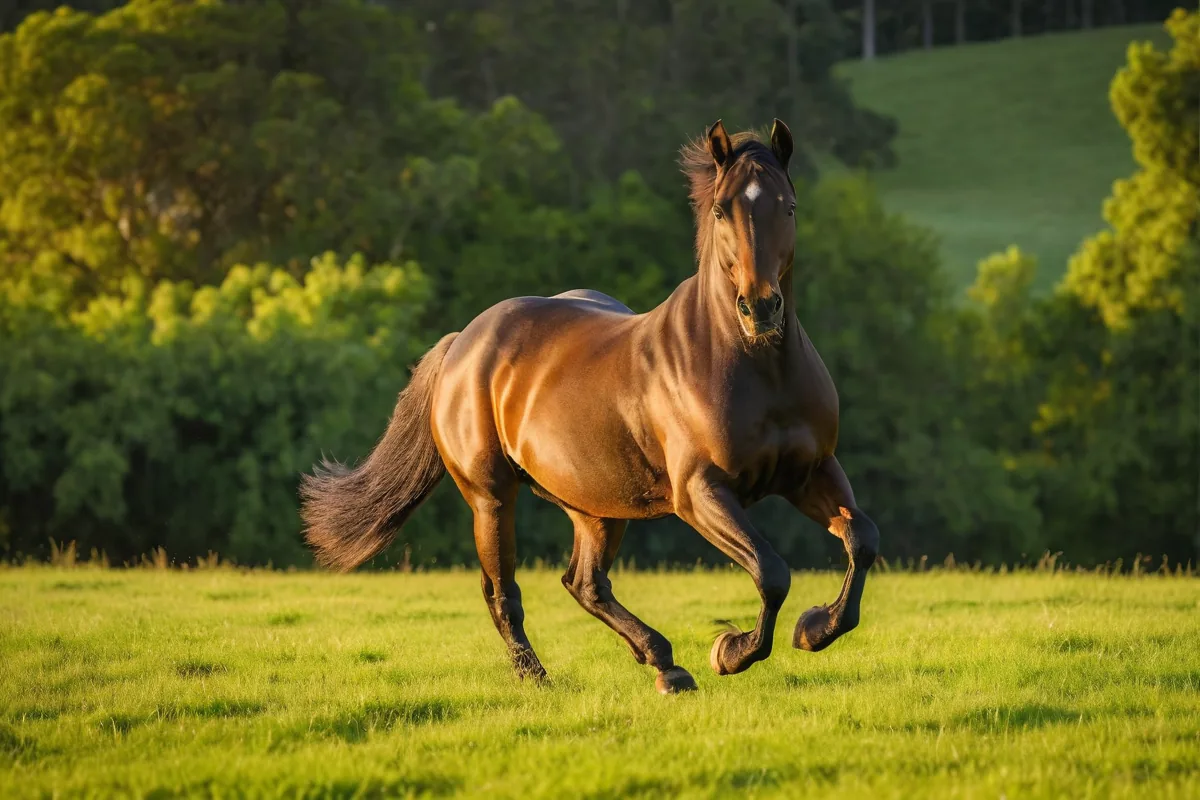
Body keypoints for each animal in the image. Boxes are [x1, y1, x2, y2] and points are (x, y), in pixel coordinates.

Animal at [300, 119, 880, 694]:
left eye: (789, 206)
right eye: (721, 209)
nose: (760, 309)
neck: (757, 367)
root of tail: (462, 343)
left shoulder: (812, 471)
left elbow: (861, 538)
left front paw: (814, 628)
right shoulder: (701, 492)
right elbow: (771, 570)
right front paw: (731, 650)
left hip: (595, 503)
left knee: (585, 583)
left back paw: (665, 664)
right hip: (492, 497)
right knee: (503, 591)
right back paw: (540, 678)